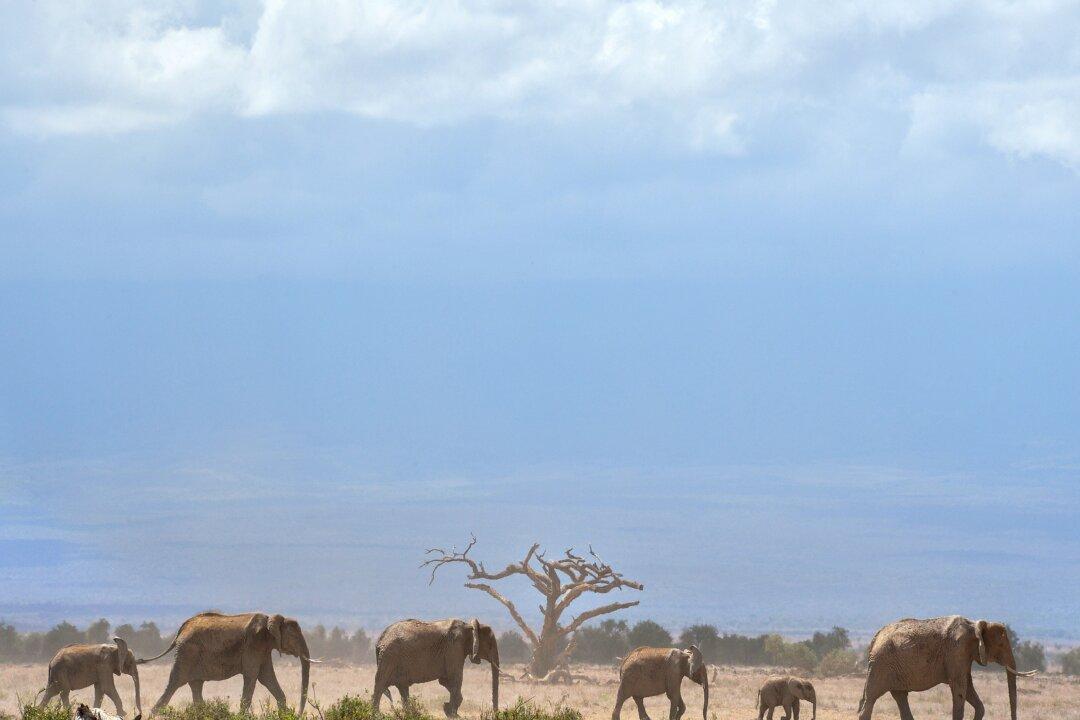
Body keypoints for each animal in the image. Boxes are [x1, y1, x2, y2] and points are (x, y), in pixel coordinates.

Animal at [138, 611, 313, 716]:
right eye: (294, 636)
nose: (298, 714)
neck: (272, 618)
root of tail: (181, 630)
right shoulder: (253, 645)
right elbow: (252, 676)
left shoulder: (263, 649)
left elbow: (266, 678)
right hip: (187, 653)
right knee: (174, 683)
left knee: (196, 685)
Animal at [858, 616, 1036, 720]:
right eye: (1001, 645)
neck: (975, 625)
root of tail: (875, 638)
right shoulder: (957, 651)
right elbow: (960, 689)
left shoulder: (963, 657)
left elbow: (969, 689)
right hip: (882, 664)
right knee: (872, 698)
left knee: (900, 697)